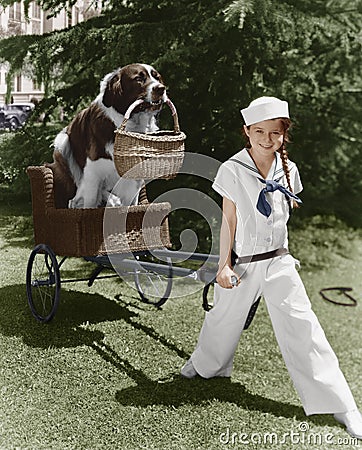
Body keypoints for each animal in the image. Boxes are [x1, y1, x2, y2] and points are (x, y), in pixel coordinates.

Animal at [45, 63, 168, 209]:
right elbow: (90, 201)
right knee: (75, 197)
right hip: (62, 143)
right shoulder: (92, 172)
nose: (161, 89)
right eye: (139, 79)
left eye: (157, 77)